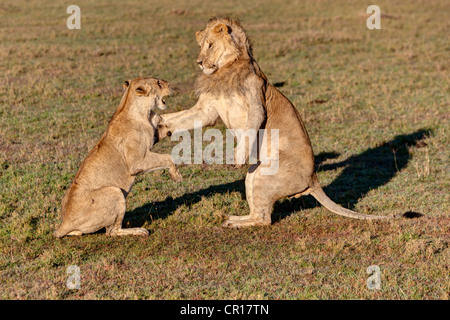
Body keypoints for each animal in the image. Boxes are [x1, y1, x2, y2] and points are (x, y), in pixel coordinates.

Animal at [55, 76, 183, 238]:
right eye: (158, 83)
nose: (169, 84)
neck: (143, 111)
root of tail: (63, 223)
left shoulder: (158, 123)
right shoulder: (137, 162)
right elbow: (167, 157)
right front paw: (176, 175)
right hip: (115, 191)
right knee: (111, 231)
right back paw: (140, 231)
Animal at [159, 17, 394, 228]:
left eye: (210, 45)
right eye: (201, 46)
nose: (199, 62)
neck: (225, 70)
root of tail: (314, 179)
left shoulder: (256, 105)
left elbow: (250, 129)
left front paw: (237, 157)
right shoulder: (206, 110)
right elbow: (180, 118)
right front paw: (160, 127)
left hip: (264, 177)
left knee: (264, 220)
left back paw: (235, 223)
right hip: (253, 176)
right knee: (258, 213)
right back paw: (233, 219)